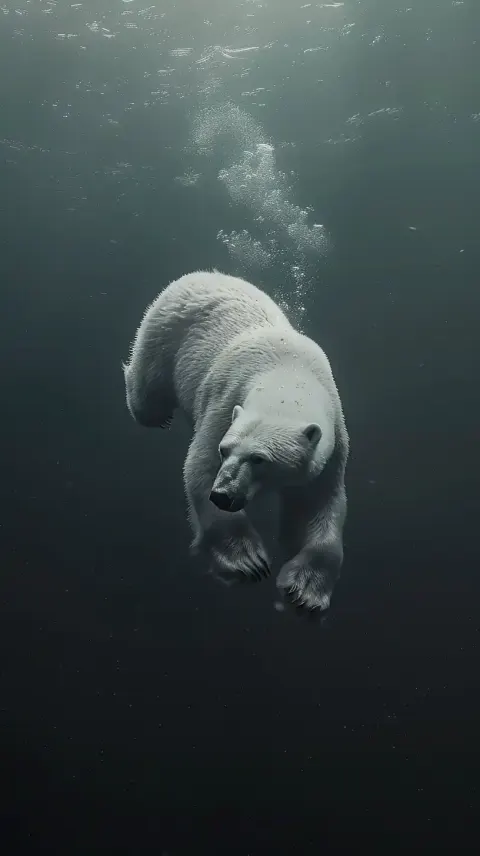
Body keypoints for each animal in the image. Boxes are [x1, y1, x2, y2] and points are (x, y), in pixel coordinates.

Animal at [123, 270, 349, 612]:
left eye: (259, 459)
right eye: (225, 450)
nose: (223, 495)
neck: (288, 372)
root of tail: (202, 274)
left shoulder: (333, 440)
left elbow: (318, 503)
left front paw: (306, 592)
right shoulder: (225, 400)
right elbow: (200, 466)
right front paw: (247, 562)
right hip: (163, 331)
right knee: (147, 388)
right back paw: (155, 413)